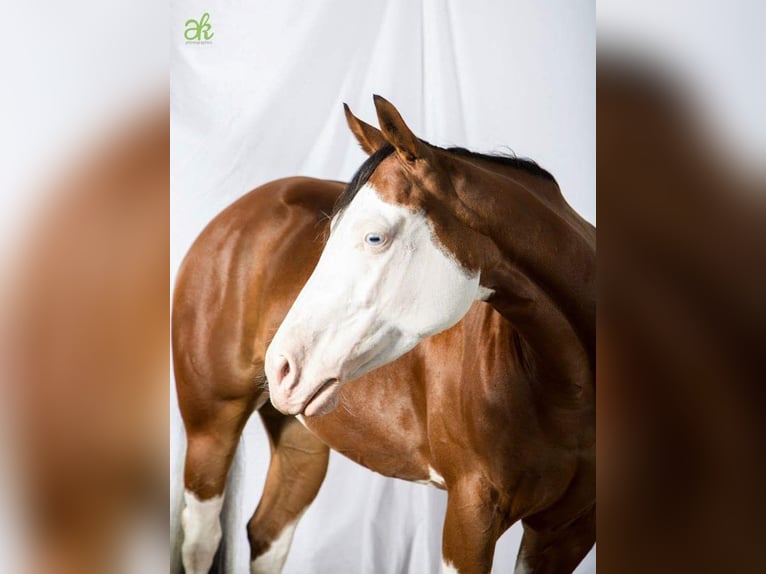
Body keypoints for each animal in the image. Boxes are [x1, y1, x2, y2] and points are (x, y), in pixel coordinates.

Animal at [174, 96, 595, 574]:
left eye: (374, 237)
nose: (280, 366)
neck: (564, 391)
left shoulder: (565, 532)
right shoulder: (470, 514)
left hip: (301, 442)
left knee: (267, 533)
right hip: (210, 429)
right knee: (202, 541)